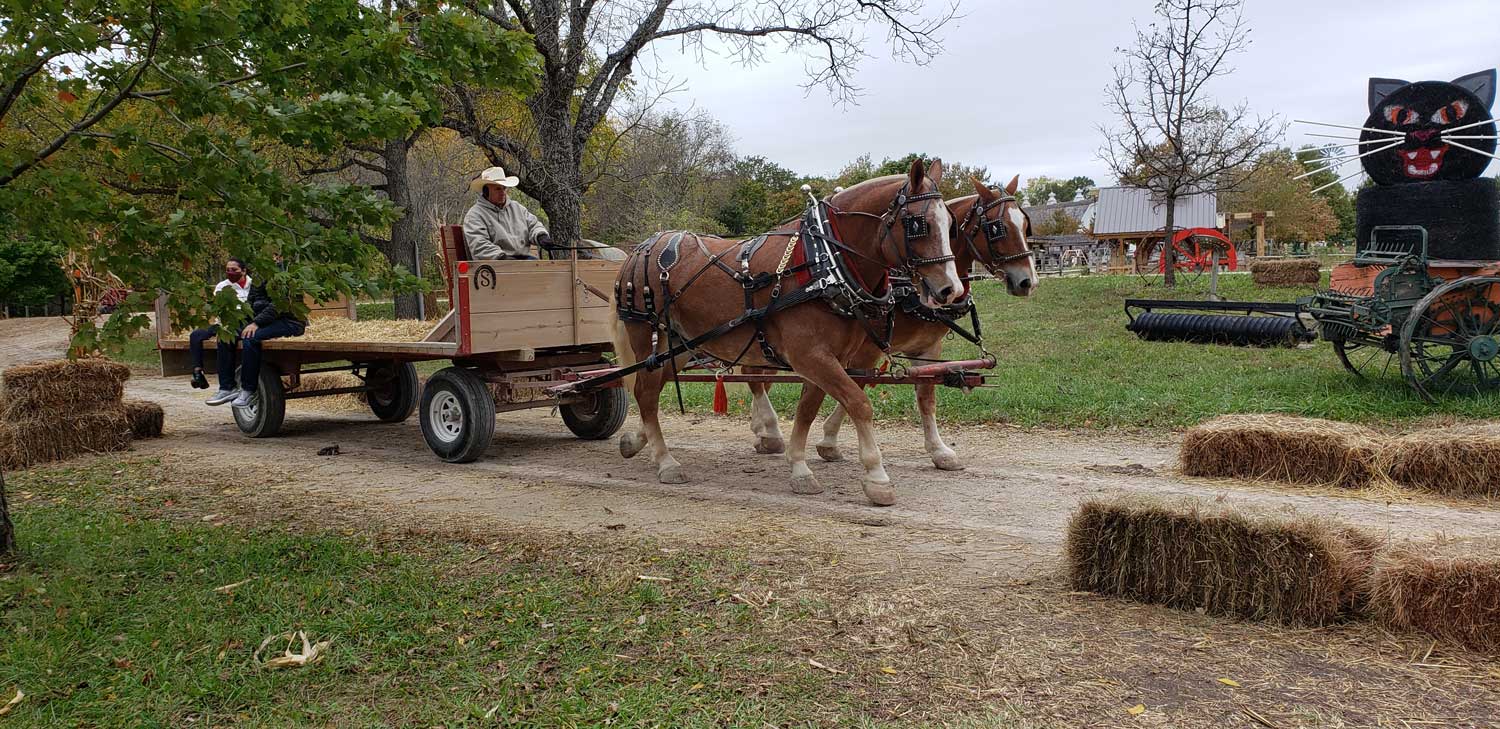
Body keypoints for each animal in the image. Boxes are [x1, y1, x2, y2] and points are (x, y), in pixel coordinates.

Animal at [609, 158, 960, 507]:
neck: (824, 262)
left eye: (951, 224)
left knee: (652, 389)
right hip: (648, 337)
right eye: (919, 224)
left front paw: (799, 468)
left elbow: (807, 411)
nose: (951, 290)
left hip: (678, 348)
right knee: (645, 394)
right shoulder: (811, 356)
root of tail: (639, 249)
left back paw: (637, 442)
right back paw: (666, 461)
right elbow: (859, 404)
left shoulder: (827, 359)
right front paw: (877, 477)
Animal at [744, 175, 1038, 474]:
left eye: (1025, 225)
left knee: (758, 377)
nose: (1028, 281)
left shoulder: (927, 347)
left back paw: (762, 431)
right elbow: (858, 386)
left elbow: (925, 397)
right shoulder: (866, 348)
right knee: (754, 378)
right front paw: (829, 440)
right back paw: (770, 432)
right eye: (997, 228)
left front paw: (939, 450)